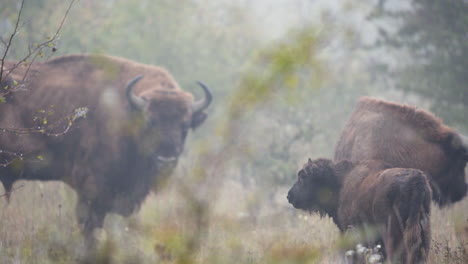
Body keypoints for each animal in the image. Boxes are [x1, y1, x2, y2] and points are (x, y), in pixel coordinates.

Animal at [0, 53, 212, 237]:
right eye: (149, 122)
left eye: (185, 126)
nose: (165, 160)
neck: (125, 110)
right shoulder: (91, 190)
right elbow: (90, 229)